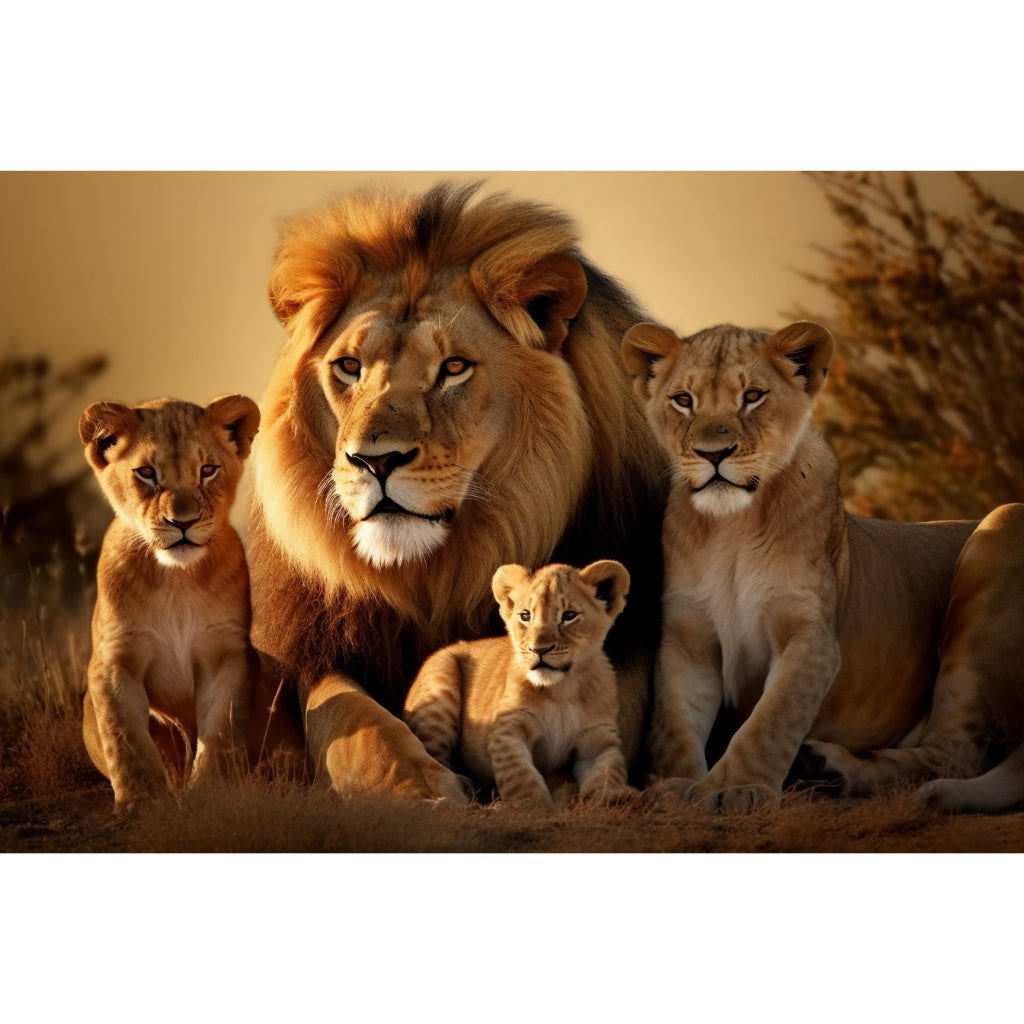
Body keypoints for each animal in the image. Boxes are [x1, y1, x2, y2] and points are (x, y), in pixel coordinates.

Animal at [79, 395, 304, 809]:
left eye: (208, 470)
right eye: (146, 473)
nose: (182, 522)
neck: (176, 580)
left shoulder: (226, 655)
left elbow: (219, 732)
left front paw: (212, 793)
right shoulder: (115, 661)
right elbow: (126, 739)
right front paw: (142, 802)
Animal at [403, 560, 634, 810]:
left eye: (569, 615)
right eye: (525, 615)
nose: (539, 649)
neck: (562, 690)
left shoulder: (597, 740)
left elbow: (607, 773)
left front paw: (610, 799)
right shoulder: (508, 730)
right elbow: (522, 778)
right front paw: (533, 807)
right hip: (439, 683)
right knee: (432, 759)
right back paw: (462, 788)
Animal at [621, 319, 1024, 811]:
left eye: (752, 396)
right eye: (683, 400)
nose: (713, 454)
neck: (730, 527)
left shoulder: (811, 634)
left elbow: (771, 720)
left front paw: (733, 788)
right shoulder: (687, 637)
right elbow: (674, 727)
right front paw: (674, 786)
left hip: (1005, 521)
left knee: (958, 753)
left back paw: (849, 772)